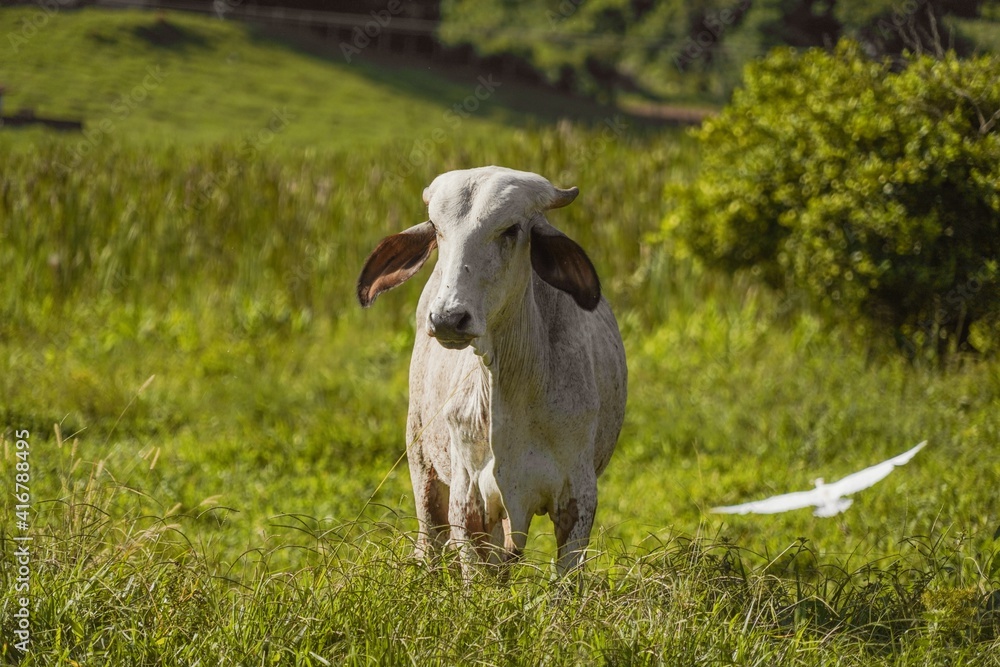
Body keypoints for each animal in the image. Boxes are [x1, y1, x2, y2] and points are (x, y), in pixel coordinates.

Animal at [357, 166, 627, 575]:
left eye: (510, 229)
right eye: (436, 228)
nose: (448, 318)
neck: (514, 384)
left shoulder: (578, 499)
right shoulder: (468, 500)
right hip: (422, 460)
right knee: (430, 542)